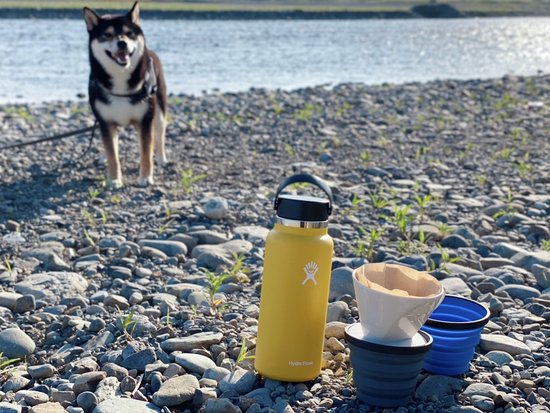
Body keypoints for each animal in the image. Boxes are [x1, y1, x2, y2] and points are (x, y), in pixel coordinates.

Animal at [83, 1, 167, 187]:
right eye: (107, 35)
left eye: (129, 34)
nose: (122, 43)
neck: (120, 81)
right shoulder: (105, 121)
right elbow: (112, 154)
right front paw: (114, 179)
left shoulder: (145, 120)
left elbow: (146, 152)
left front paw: (145, 177)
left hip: (159, 110)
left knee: (159, 136)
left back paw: (161, 158)